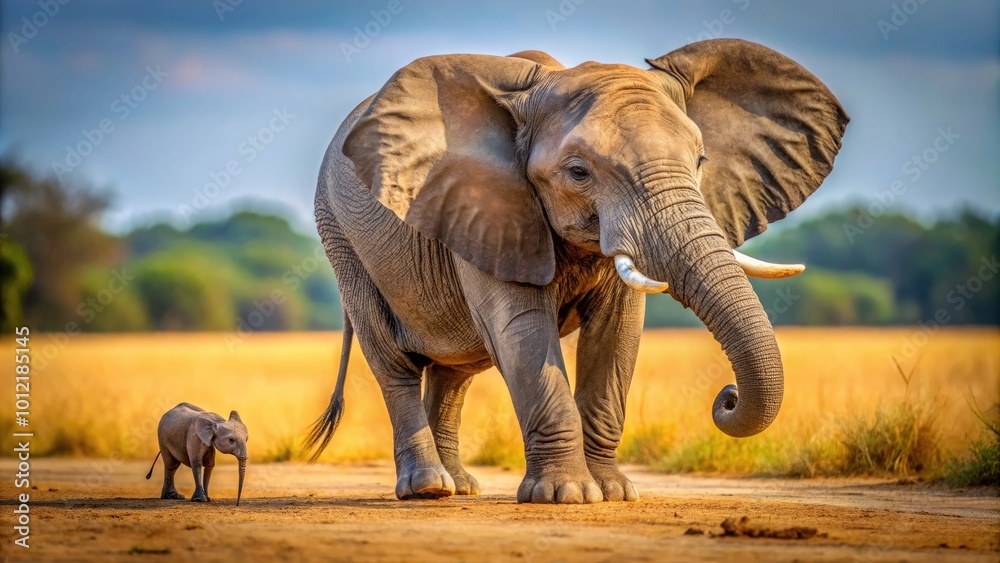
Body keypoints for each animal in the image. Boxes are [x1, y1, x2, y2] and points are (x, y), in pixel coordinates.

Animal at [306, 39, 848, 504]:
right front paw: (564, 495)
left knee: (455, 370)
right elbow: (521, 329)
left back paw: (460, 488)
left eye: (700, 161)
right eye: (579, 173)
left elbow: (617, 332)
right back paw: (428, 489)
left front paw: (613, 493)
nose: (728, 397)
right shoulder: (490, 209)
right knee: (392, 361)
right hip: (342, 238)